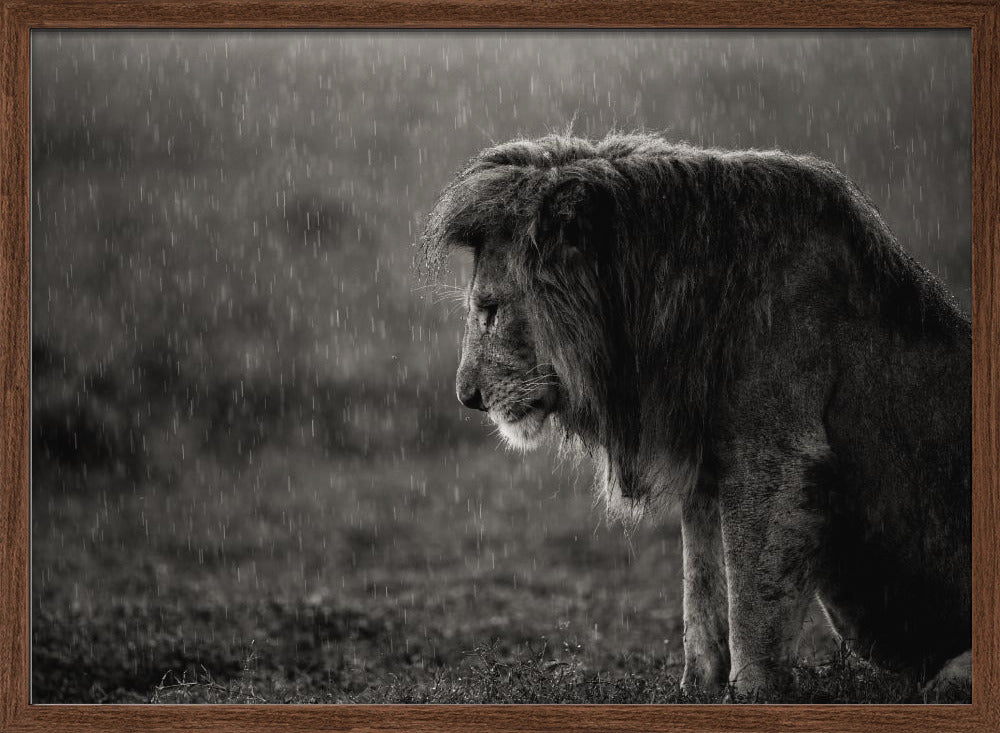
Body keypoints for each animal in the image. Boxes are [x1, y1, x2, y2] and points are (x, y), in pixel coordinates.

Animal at [419, 133, 971, 699]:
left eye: (489, 310)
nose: (467, 397)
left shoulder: (774, 457)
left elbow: (751, 598)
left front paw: (753, 693)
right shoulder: (706, 462)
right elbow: (701, 586)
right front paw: (695, 689)